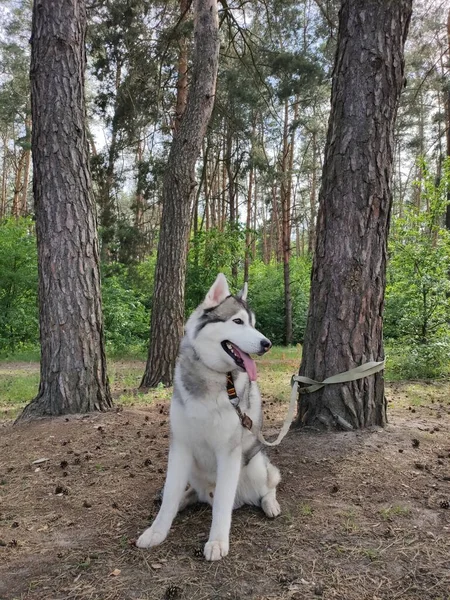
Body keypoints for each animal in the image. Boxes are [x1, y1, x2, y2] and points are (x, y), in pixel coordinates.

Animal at [135, 274, 280, 560]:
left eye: (254, 325)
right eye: (238, 322)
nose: (267, 344)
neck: (212, 377)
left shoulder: (228, 452)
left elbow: (222, 505)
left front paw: (217, 542)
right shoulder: (180, 447)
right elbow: (170, 495)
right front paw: (157, 531)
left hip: (256, 465)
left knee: (269, 484)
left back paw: (270, 503)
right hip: (193, 469)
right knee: (187, 494)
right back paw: (182, 500)